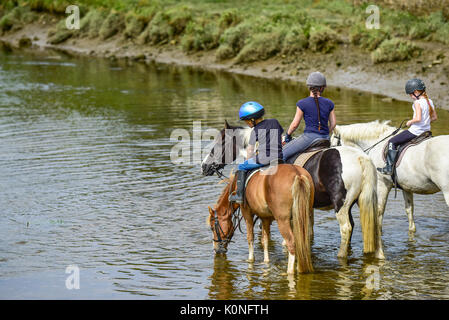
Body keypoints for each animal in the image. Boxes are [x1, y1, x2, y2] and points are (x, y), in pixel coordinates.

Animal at [201, 122, 384, 260]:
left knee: (346, 228)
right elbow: (307, 229)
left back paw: (340, 256)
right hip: (361, 201)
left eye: (218, 144)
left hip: (341, 205)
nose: (204, 166)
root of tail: (361, 158)